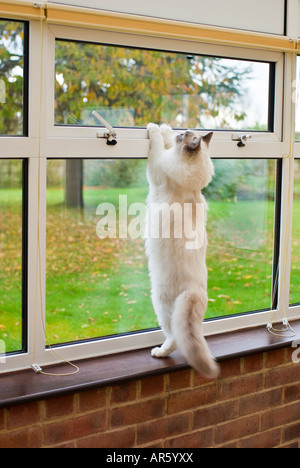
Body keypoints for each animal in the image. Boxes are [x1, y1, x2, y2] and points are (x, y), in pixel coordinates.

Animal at [146, 122, 219, 378]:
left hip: (159, 301)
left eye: (186, 136)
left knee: (174, 338)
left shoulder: (157, 168)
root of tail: (195, 293)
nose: (180, 131)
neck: (193, 187)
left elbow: (158, 145)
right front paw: (165, 129)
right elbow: (165, 142)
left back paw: (159, 352)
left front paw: (155, 129)